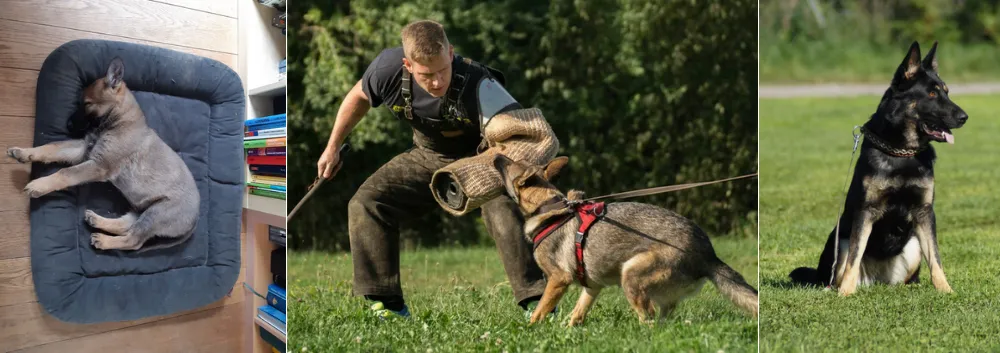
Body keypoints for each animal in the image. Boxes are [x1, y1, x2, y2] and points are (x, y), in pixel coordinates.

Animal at [7, 57, 199, 250]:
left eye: (87, 104)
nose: (67, 125)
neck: (119, 121)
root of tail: (195, 220)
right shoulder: (84, 149)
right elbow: (51, 147)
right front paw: (24, 153)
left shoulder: (99, 165)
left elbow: (65, 172)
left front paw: (39, 185)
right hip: (143, 209)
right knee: (126, 225)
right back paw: (98, 221)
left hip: (157, 213)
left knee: (133, 241)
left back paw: (104, 240)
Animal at [492, 153, 756, 324]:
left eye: (509, 164)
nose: (495, 155)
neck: (548, 206)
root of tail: (708, 254)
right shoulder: (592, 285)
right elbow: (577, 312)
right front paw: (569, 329)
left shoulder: (558, 280)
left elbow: (539, 312)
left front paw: (529, 331)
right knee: (663, 320)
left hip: (630, 275)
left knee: (649, 320)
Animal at [792, 41, 964, 296]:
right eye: (932, 94)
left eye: (947, 92)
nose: (964, 117)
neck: (902, 152)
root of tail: (876, 279)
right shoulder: (865, 212)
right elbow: (854, 257)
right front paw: (846, 294)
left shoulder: (924, 212)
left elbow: (936, 258)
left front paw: (946, 290)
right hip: (840, 243)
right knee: (844, 267)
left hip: (913, 245)